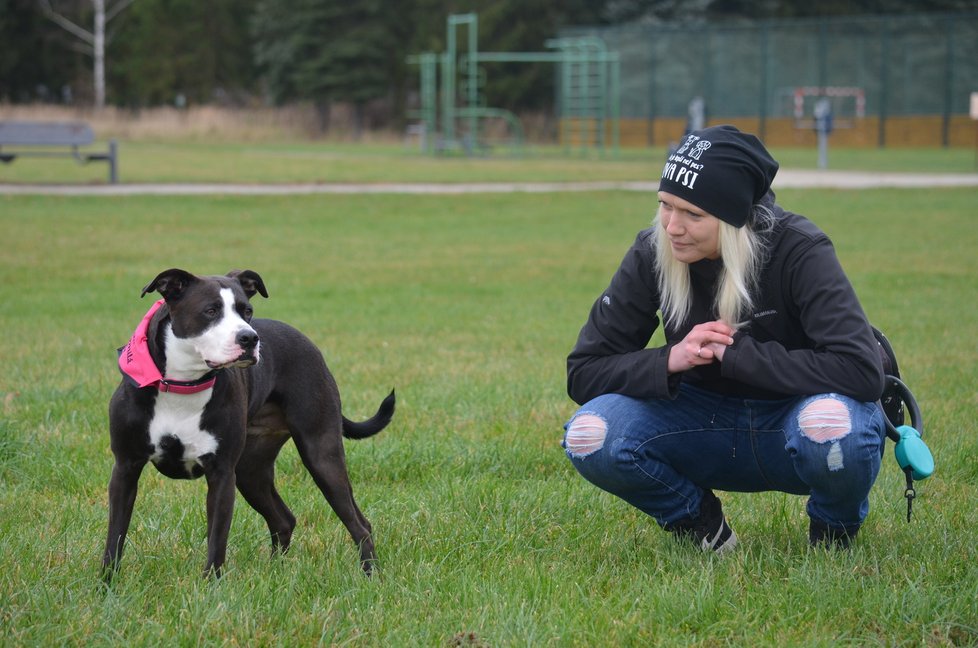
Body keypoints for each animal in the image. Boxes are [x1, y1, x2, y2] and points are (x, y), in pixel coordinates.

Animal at [103, 266, 392, 580]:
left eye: (247, 311)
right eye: (211, 311)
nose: (250, 338)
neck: (182, 385)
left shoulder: (222, 474)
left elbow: (217, 541)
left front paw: (210, 586)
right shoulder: (125, 468)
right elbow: (114, 537)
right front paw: (106, 586)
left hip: (321, 455)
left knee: (359, 524)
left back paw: (370, 576)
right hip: (251, 470)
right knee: (283, 519)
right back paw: (275, 574)